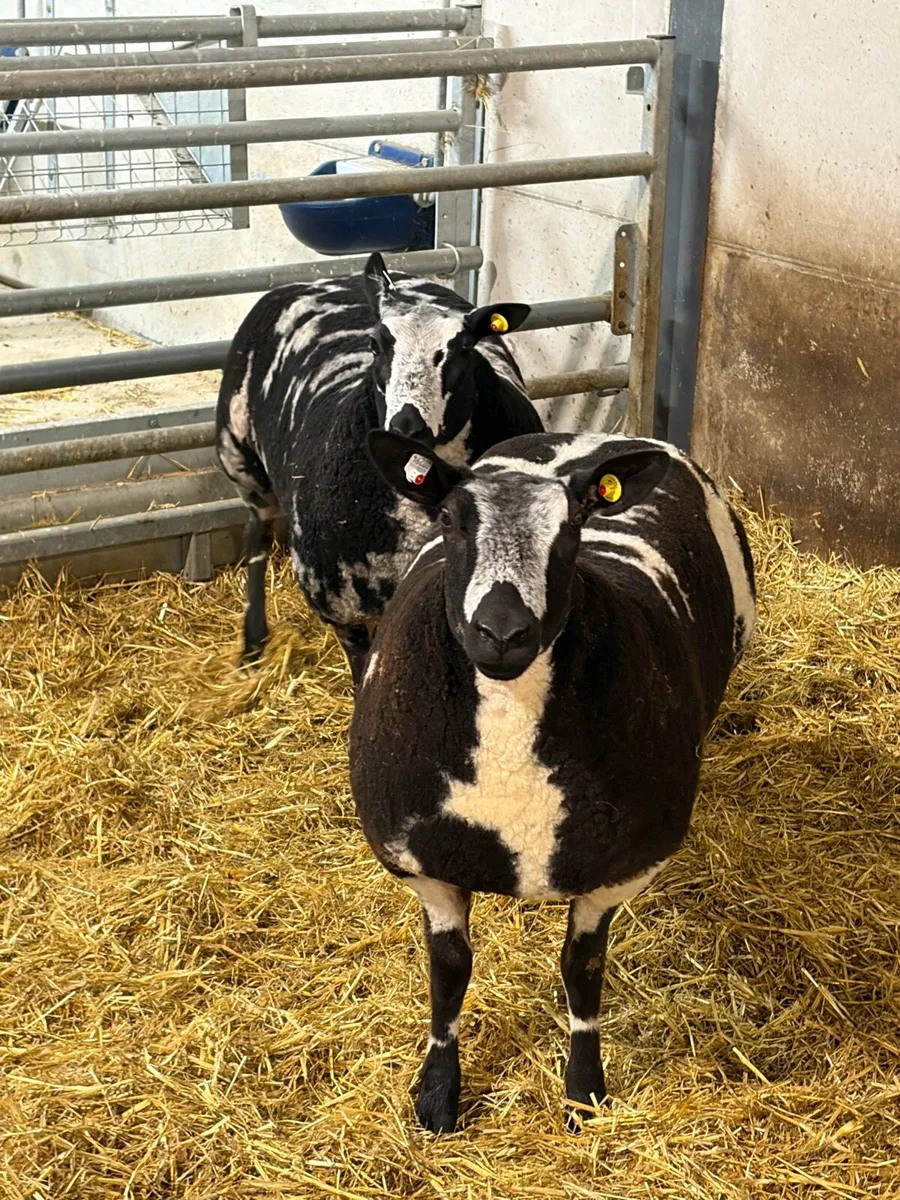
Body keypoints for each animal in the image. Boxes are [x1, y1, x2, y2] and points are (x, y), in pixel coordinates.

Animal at [215, 253, 543, 682]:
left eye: (464, 348)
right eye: (376, 344)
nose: (407, 425)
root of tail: (331, 278)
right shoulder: (342, 609)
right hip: (240, 456)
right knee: (256, 534)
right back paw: (253, 642)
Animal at [350, 428, 756, 1131]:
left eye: (569, 531)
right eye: (451, 521)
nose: (502, 633)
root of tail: (597, 436)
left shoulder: (617, 868)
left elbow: (582, 969)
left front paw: (584, 1090)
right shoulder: (424, 863)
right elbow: (448, 972)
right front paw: (437, 1096)